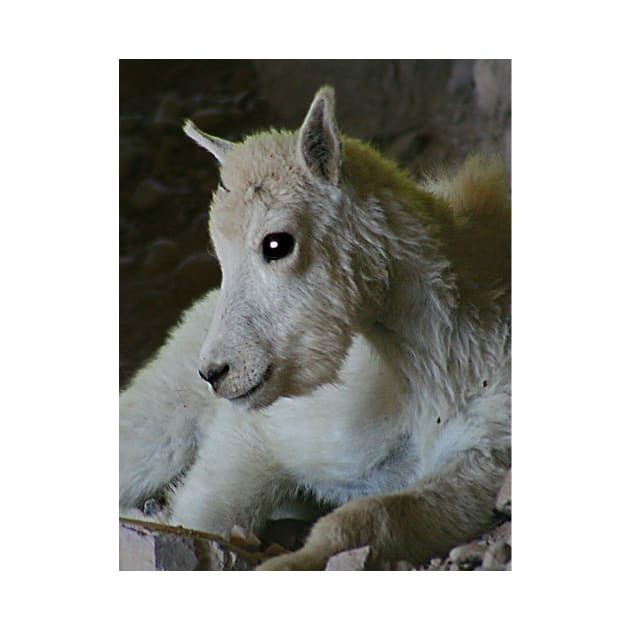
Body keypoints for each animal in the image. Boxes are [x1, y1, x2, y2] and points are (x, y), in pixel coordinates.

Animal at [119, 85, 512, 572]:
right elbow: (200, 516)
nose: (216, 372)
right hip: (161, 416)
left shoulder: (481, 457)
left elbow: (368, 518)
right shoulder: (265, 434)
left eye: (276, 243)